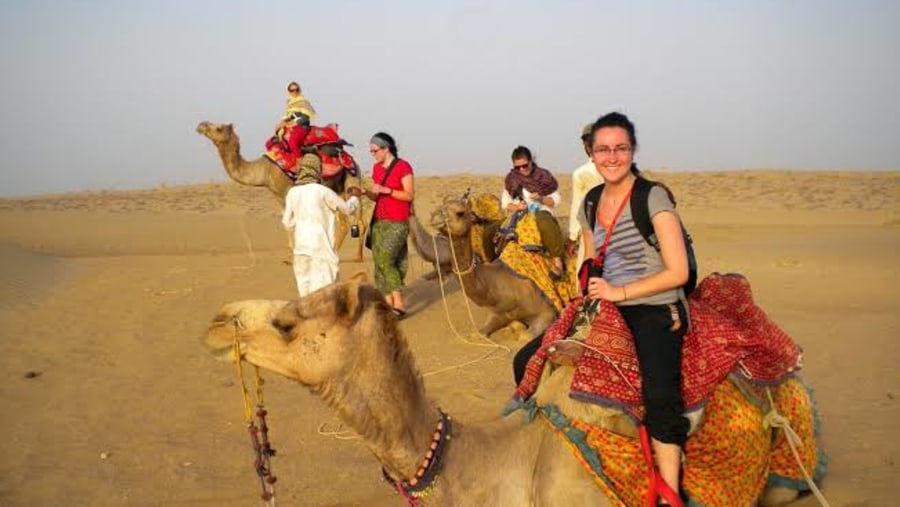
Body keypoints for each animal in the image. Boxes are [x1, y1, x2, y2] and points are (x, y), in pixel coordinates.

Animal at [199, 120, 364, 262]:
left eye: (219, 128)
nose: (201, 125)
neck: (264, 170)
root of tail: (351, 159)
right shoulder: (277, 194)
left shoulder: (285, 191)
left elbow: (290, 223)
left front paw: (292, 258)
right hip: (337, 188)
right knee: (345, 221)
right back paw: (351, 255)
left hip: (352, 178)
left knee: (355, 220)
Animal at [408, 196, 556, 340]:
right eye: (440, 206)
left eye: (460, 213)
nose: (434, 217)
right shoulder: (498, 312)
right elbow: (479, 333)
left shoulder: (546, 312)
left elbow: (525, 336)